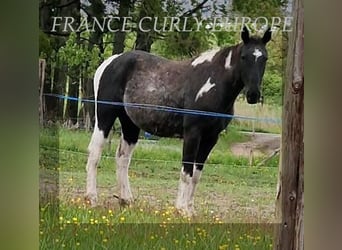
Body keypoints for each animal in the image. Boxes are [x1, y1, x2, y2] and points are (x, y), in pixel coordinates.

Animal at [84, 26, 272, 216]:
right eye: (244, 57)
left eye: (264, 58)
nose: (253, 95)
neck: (212, 83)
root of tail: (110, 62)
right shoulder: (192, 134)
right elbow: (186, 171)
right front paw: (182, 209)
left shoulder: (211, 138)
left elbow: (196, 174)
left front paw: (190, 209)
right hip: (105, 116)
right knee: (95, 152)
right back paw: (91, 198)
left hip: (130, 124)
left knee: (123, 158)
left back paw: (126, 200)